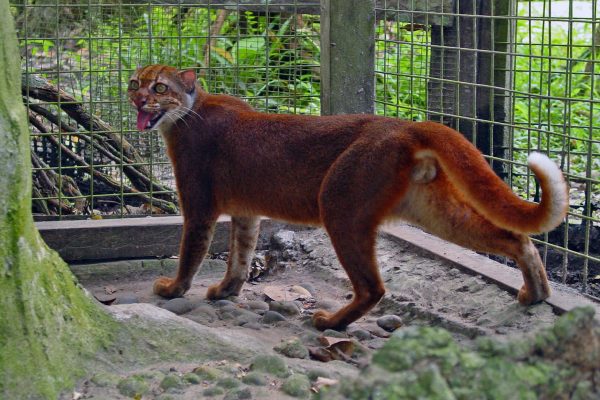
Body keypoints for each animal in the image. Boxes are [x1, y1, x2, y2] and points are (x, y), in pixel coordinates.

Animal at [126, 64, 568, 330]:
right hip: (431, 209)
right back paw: (536, 293)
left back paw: (330, 322)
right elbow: (241, 254)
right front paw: (226, 291)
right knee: (515, 237)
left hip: (338, 204)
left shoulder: (199, 204)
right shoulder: (247, 214)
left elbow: (192, 250)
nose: (138, 99)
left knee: (373, 287)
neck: (188, 113)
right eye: (135, 82)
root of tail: (406, 126)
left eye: (160, 87)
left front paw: (173, 289)